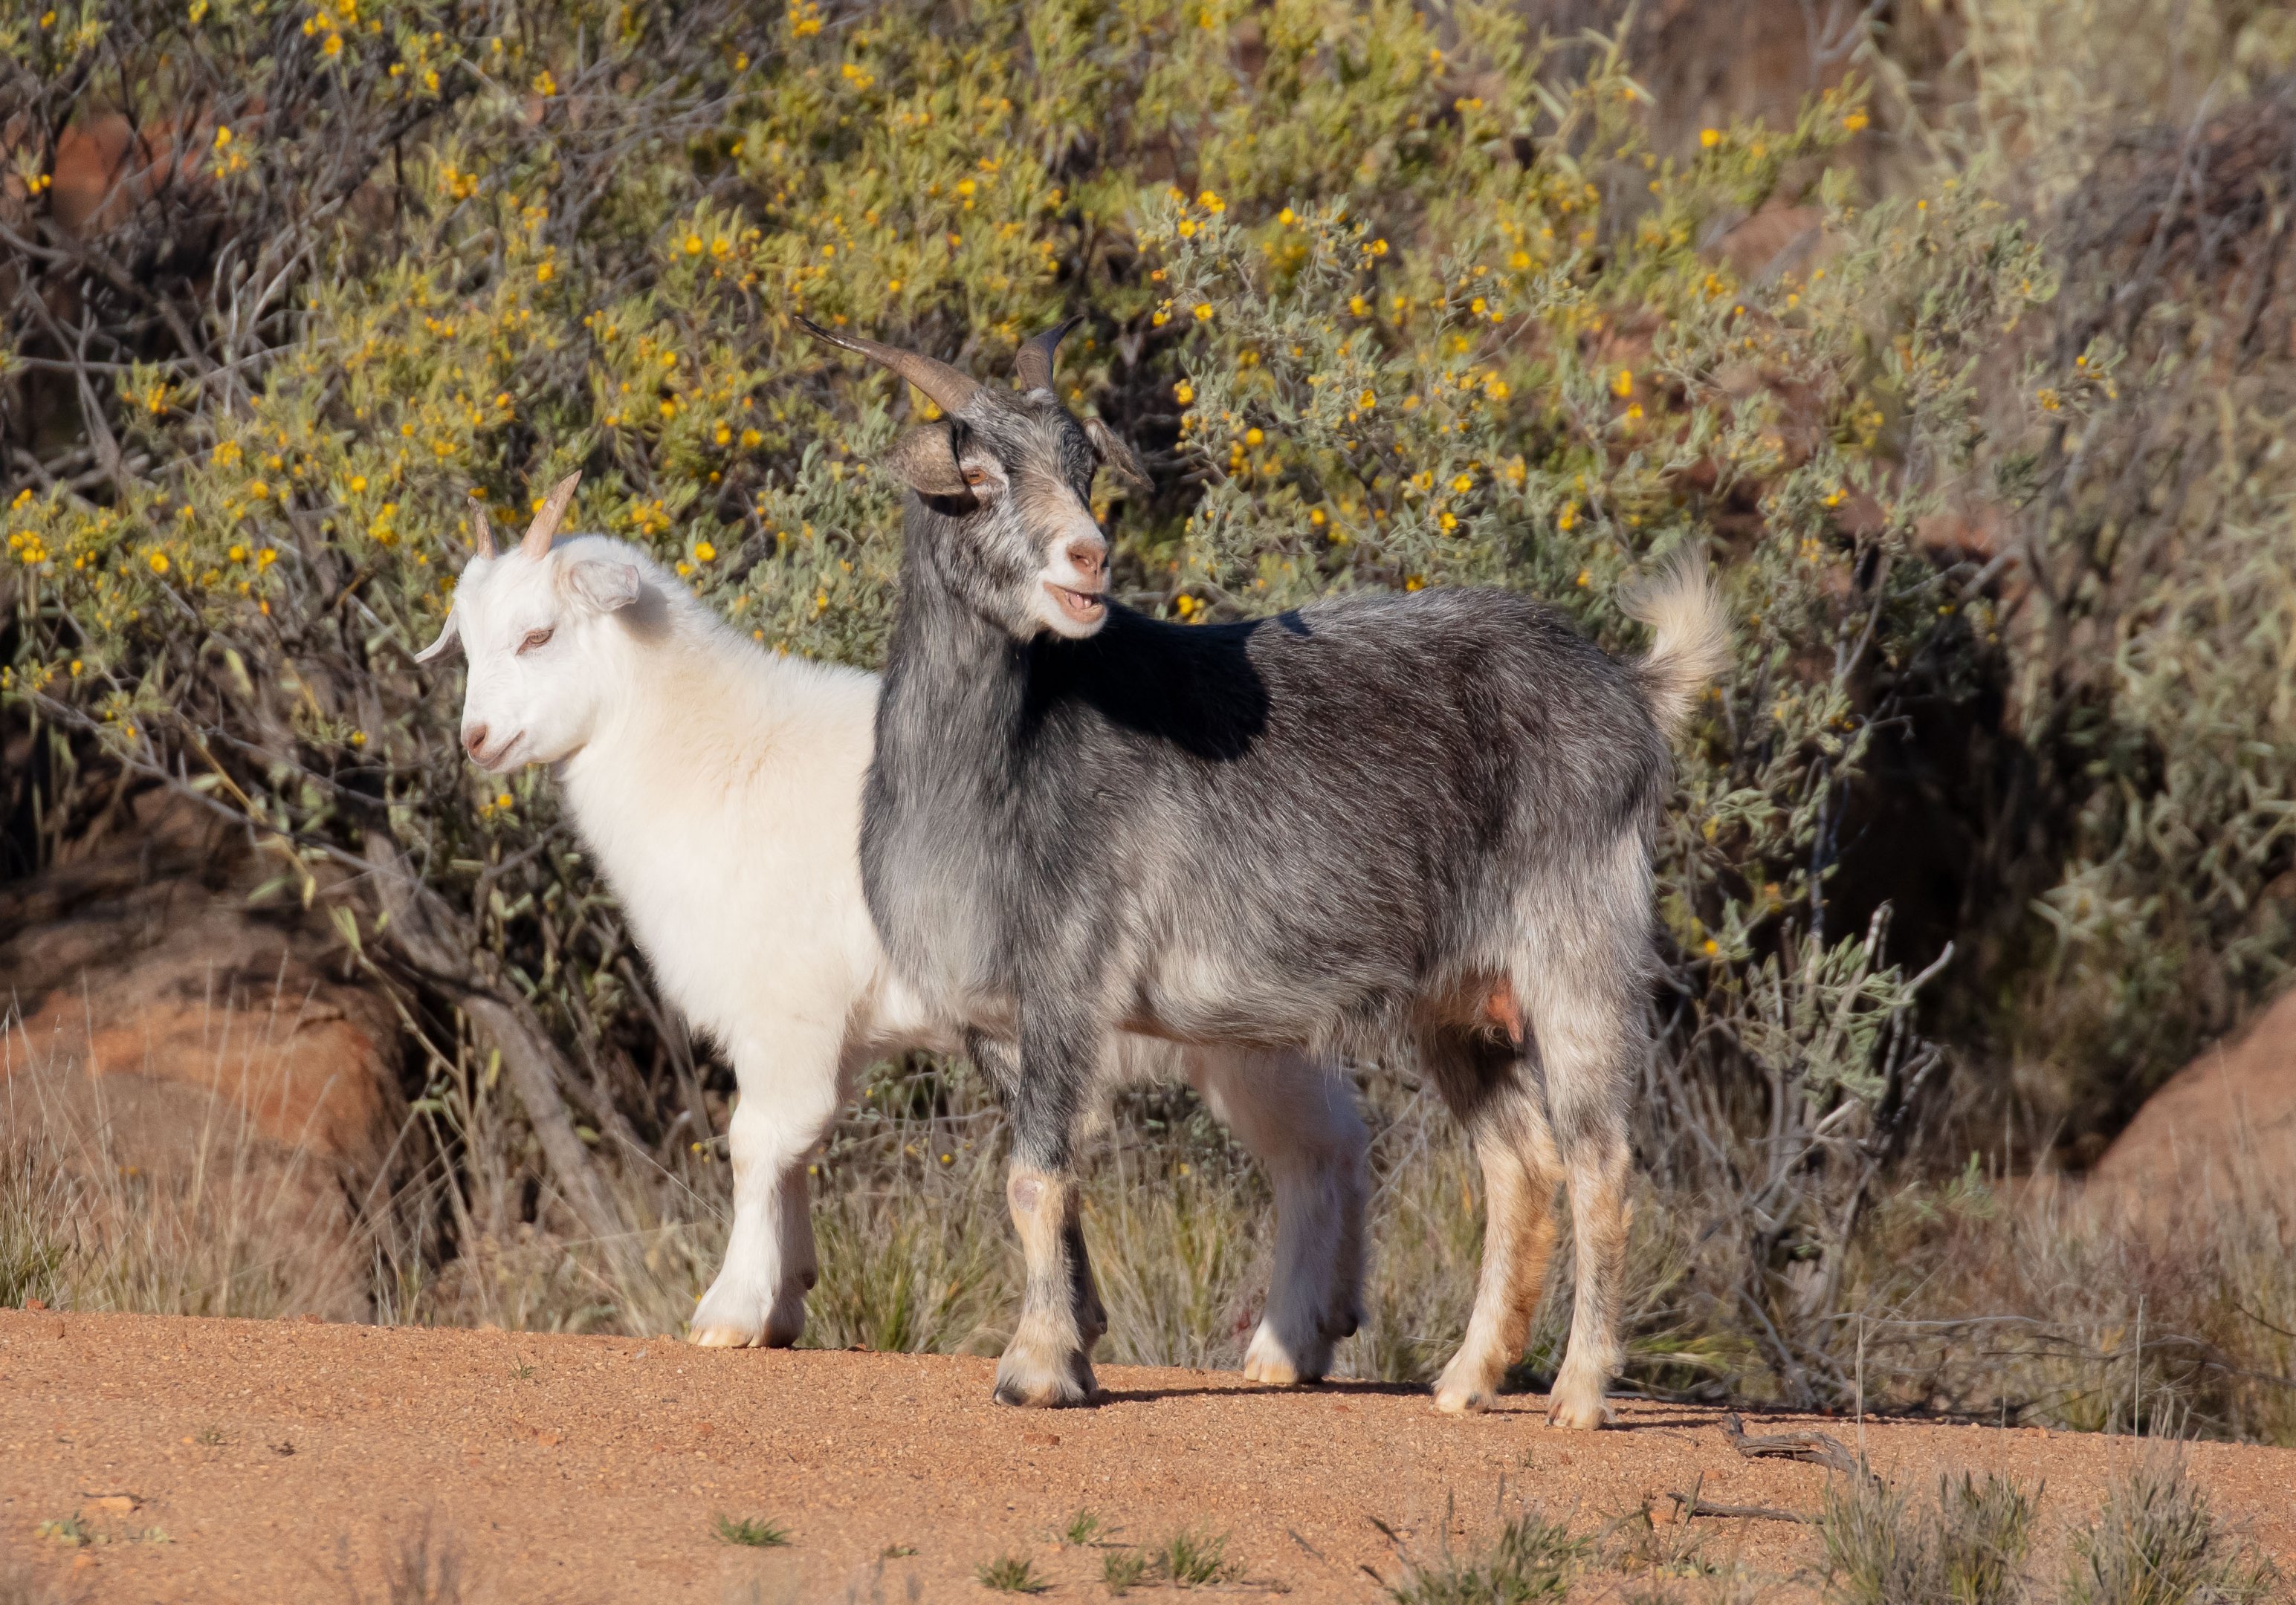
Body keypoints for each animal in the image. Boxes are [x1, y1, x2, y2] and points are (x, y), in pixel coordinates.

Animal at [413, 479, 1370, 1377]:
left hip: (1244, 1027)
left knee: (1306, 1158)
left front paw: (729, 1308)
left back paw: (1284, 1344)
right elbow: (794, 1150)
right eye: (468, 644)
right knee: (1338, 1139)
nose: (477, 739)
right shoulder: (821, 1032)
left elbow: (757, 1142)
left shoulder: (785, 1010)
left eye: (538, 636)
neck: (713, 751)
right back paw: (1330, 1320)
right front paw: (787, 1296)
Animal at [800, 316, 1731, 1423]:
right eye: (976, 471)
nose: (1088, 557)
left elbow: (1034, 1178)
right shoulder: (999, 1023)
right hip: (1458, 1005)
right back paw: (1465, 1382)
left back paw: (1579, 1395)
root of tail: (1630, 690)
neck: (993, 767)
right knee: (1519, 1160)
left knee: (1600, 1159)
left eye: (1083, 467)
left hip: (1576, 957)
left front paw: (1033, 1373)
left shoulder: (1069, 980)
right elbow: (1048, 1186)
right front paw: (1074, 1349)